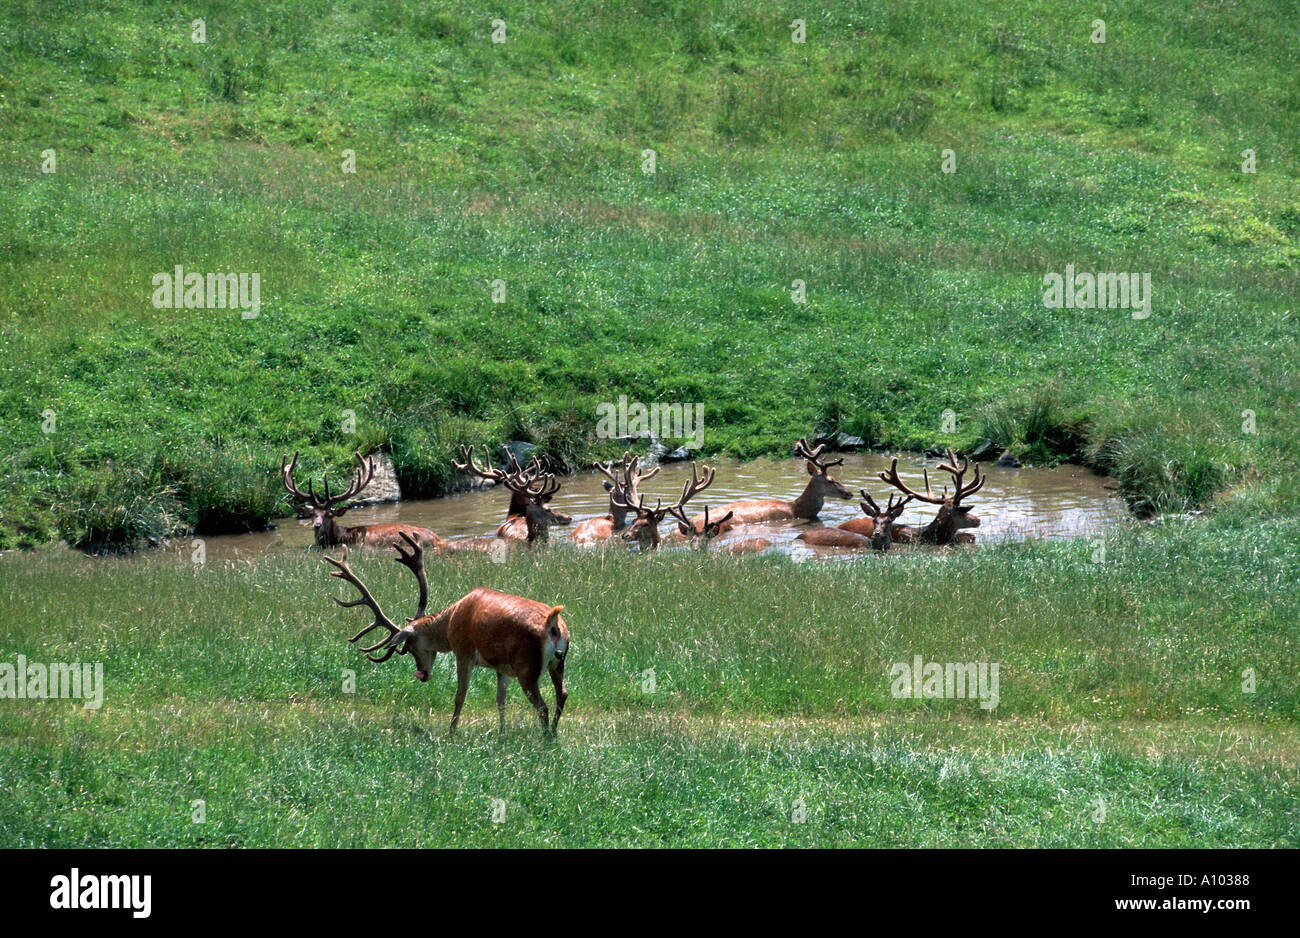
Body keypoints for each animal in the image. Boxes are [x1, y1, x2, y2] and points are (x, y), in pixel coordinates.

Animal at [326, 533, 570, 736]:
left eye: (409, 648)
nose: (422, 674)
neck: (449, 623)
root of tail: (553, 623)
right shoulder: (501, 666)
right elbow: (501, 701)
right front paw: (501, 735)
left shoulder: (463, 652)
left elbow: (460, 696)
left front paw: (451, 732)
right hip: (557, 662)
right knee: (562, 693)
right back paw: (553, 734)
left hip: (526, 666)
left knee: (543, 706)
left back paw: (544, 738)